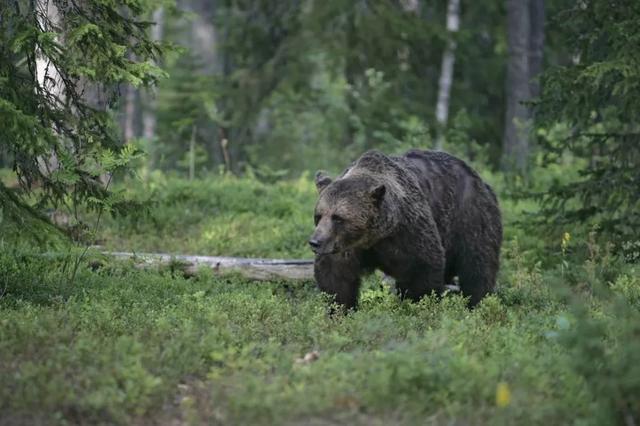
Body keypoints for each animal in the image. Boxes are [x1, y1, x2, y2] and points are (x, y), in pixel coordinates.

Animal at [312, 149, 504, 310]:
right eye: (318, 215)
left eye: (338, 217)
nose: (315, 242)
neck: (374, 236)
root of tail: (482, 182)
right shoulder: (345, 247)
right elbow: (336, 279)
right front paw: (339, 309)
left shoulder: (408, 231)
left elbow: (422, 272)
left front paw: (416, 305)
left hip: (470, 217)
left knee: (477, 267)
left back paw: (477, 304)